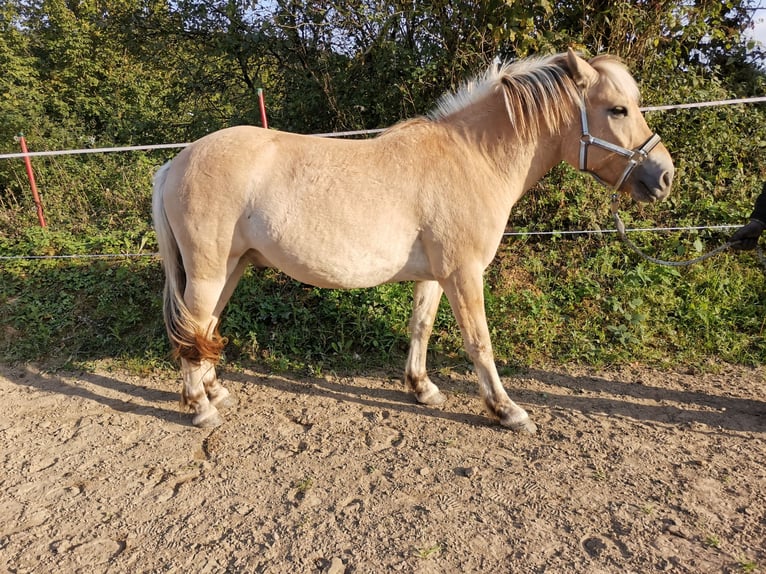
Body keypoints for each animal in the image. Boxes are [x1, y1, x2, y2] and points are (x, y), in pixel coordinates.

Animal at [153, 49, 676, 434]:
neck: (472, 159)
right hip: (208, 270)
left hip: (232, 267)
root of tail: (174, 163)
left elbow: (420, 327)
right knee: (192, 329)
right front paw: (507, 410)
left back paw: (215, 390)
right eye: (617, 109)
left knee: (204, 329)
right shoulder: (464, 273)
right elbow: (479, 342)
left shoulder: (436, 274)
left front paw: (422, 389)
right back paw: (200, 408)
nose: (664, 176)